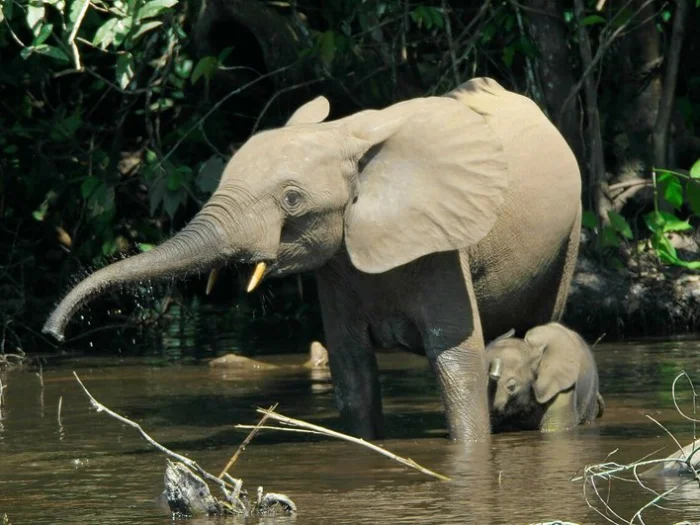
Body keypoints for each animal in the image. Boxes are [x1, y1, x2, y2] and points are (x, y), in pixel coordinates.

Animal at [42, 77, 582, 442]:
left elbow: (455, 362)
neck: (346, 135)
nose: (53, 334)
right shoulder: (337, 264)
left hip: (570, 232)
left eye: (292, 199)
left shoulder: (443, 245)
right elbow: (352, 370)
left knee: (540, 324)